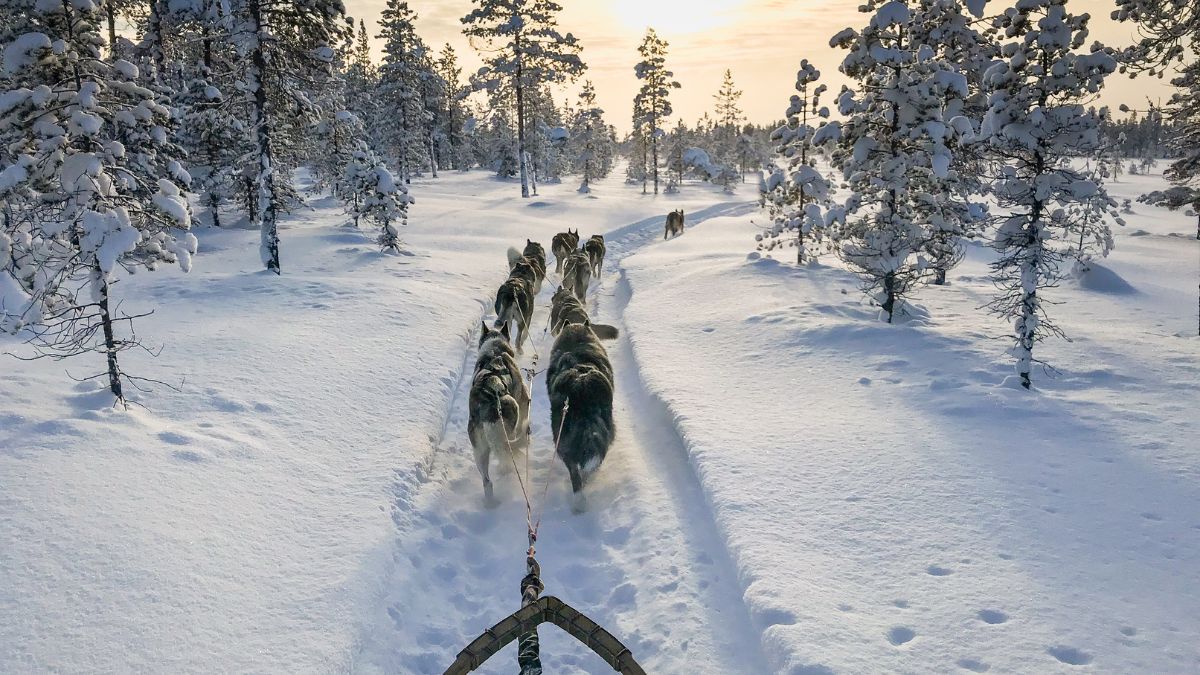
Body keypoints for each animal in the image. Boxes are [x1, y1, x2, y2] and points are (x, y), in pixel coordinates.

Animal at [465, 324, 528, 502]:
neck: (495, 350)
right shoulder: (524, 402)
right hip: (512, 408)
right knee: (507, 455)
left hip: (479, 452)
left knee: (487, 482)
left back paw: (490, 502)